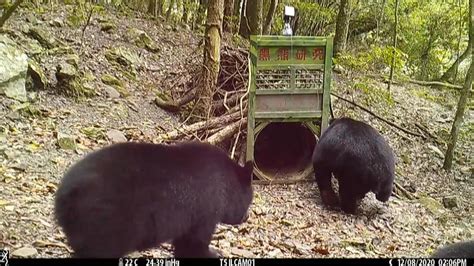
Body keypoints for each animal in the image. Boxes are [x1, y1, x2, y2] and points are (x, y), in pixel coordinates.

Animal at [54, 141, 256, 258]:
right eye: (249, 201)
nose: (246, 217)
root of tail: (66, 192)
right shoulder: (205, 206)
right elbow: (193, 242)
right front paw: (213, 253)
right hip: (107, 221)